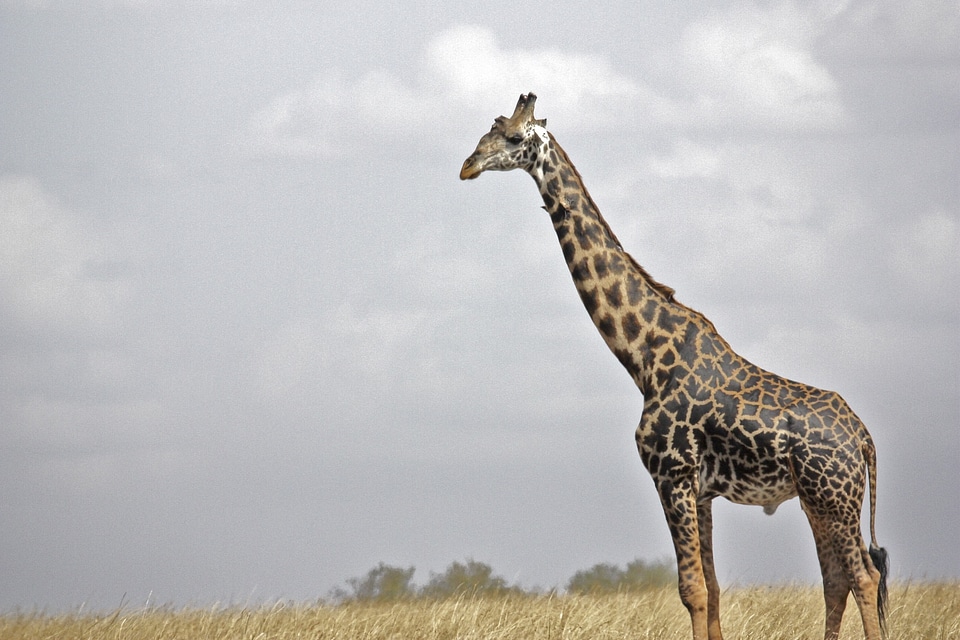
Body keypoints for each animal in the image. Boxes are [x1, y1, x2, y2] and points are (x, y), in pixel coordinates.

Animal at [462, 94, 888, 640]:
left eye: (514, 138)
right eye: (487, 131)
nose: (467, 166)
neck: (643, 357)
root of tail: (864, 438)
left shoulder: (672, 475)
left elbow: (692, 590)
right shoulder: (700, 491)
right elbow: (713, 590)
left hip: (833, 495)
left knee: (863, 575)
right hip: (820, 499)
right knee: (836, 578)